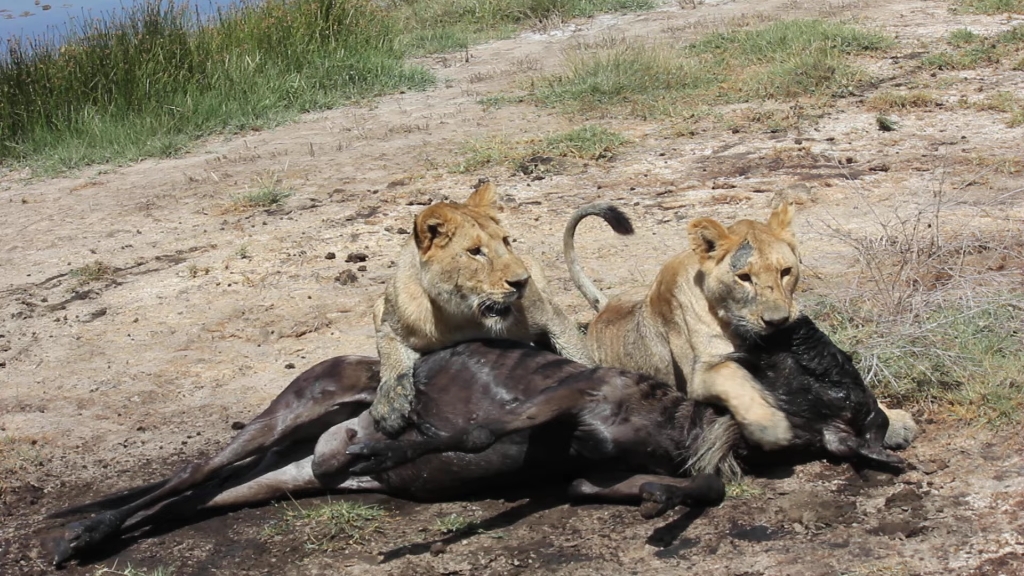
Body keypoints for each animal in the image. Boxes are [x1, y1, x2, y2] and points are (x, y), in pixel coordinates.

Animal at [368, 179, 593, 434]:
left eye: (505, 241)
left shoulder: (549, 315)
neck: (459, 319)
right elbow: (391, 357)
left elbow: (578, 354)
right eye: (475, 252)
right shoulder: (389, 321)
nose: (522, 281)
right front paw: (389, 404)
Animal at [565, 201, 917, 453]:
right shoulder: (703, 373)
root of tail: (602, 308)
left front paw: (896, 420)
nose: (777, 321)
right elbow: (737, 381)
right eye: (744, 277)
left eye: (786, 272)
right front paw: (772, 427)